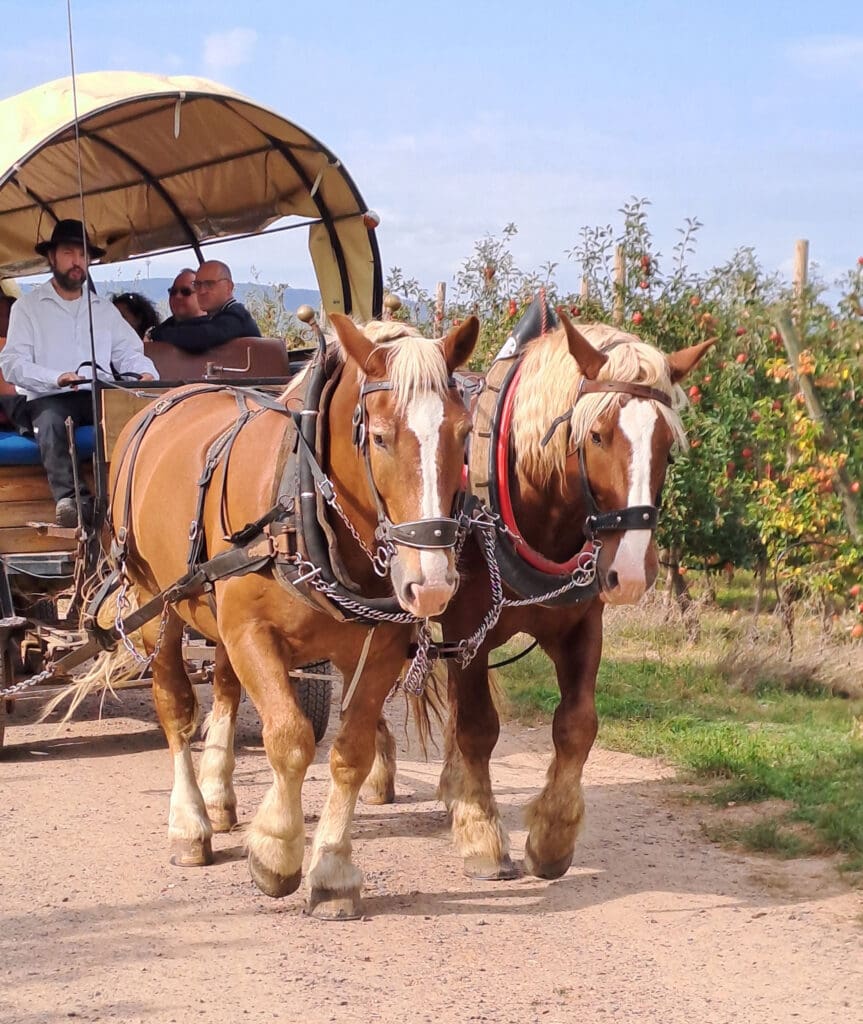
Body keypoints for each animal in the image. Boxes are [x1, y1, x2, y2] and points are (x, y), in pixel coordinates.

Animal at [103, 313, 479, 921]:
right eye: (379, 437)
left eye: (464, 434)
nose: (432, 585)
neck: (303, 503)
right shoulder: (251, 632)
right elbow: (290, 738)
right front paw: (276, 849)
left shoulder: (382, 646)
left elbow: (351, 752)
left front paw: (333, 870)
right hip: (155, 599)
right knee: (175, 705)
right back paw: (190, 822)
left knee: (225, 688)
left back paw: (218, 796)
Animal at [364, 303, 716, 880]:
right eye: (596, 436)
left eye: (667, 447)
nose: (632, 573)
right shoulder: (468, 631)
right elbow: (478, 727)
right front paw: (482, 834)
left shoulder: (580, 626)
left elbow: (577, 725)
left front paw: (551, 837)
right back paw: (378, 774)